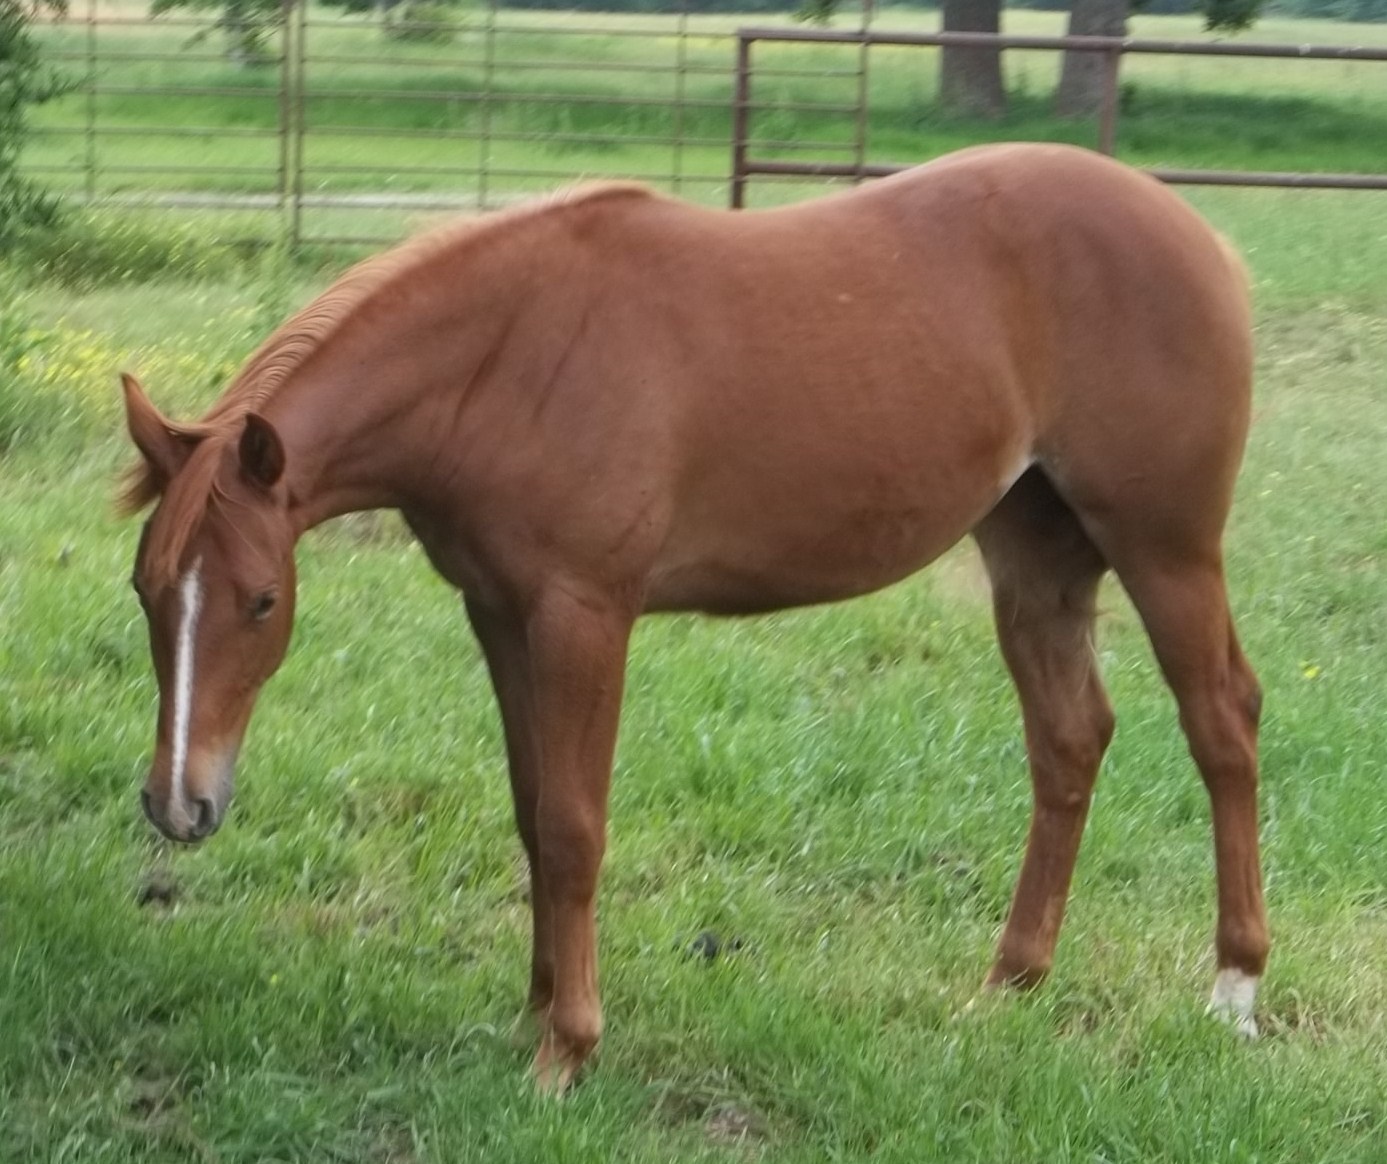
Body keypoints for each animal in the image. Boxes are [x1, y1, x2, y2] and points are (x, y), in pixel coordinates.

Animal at [121, 142, 1267, 1091]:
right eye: (145, 588)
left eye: (263, 600)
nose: (181, 805)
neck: (506, 358)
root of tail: (1200, 237)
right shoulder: (499, 613)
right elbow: (531, 811)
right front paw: (534, 1011)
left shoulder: (584, 614)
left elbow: (573, 827)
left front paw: (568, 1049)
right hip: (1034, 558)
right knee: (1069, 740)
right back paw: (1009, 986)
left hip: (1164, 550)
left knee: (1222, 725)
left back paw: (1234, 991)